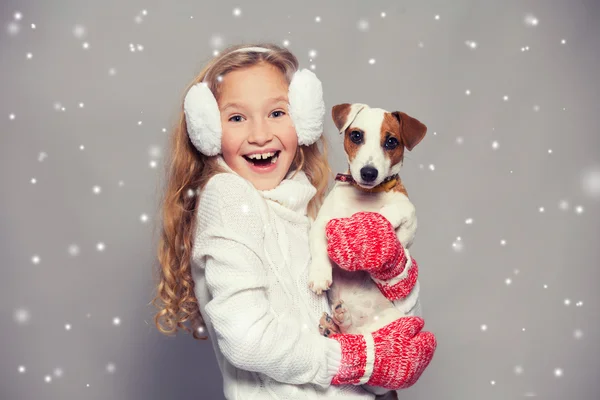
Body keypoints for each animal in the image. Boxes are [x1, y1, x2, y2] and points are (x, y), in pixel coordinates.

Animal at [310, 101, 426, 350]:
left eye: (391, 141)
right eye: (356, 136)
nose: (369, 173)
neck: (366, 195)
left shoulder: (409, 217)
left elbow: (395, 212)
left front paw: (369, 226)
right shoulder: (323, 222)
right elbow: (319, 247)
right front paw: (320, 275)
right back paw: (334, 324)